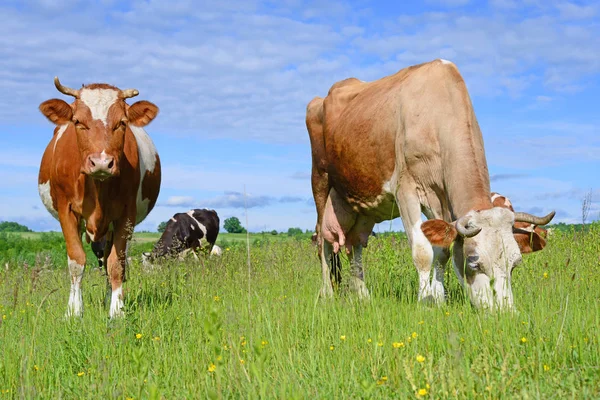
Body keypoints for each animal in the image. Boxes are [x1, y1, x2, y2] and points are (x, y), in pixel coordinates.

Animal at [39, 76, 162, 318]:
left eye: (122, 122)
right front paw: (73, 312)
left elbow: (116, 264)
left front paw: (117, 311)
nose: (102, 163)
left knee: (106, 260)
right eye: (78, 121)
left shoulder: (126, 214)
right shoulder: (66, 210)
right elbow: (76, 262)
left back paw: (108, 300)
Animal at [308, 59, 556, 310]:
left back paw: (362, 295)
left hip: (360, 203)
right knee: (323, 243)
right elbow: (422, 252)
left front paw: (439, 298)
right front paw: (425, 300)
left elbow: (443, 252)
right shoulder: (405, 189)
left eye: (515, 264)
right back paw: (327, 293)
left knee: (354, 244)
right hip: (320, 180)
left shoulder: (440, 198)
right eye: (473, 262)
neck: (436, 114)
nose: (504, 313)